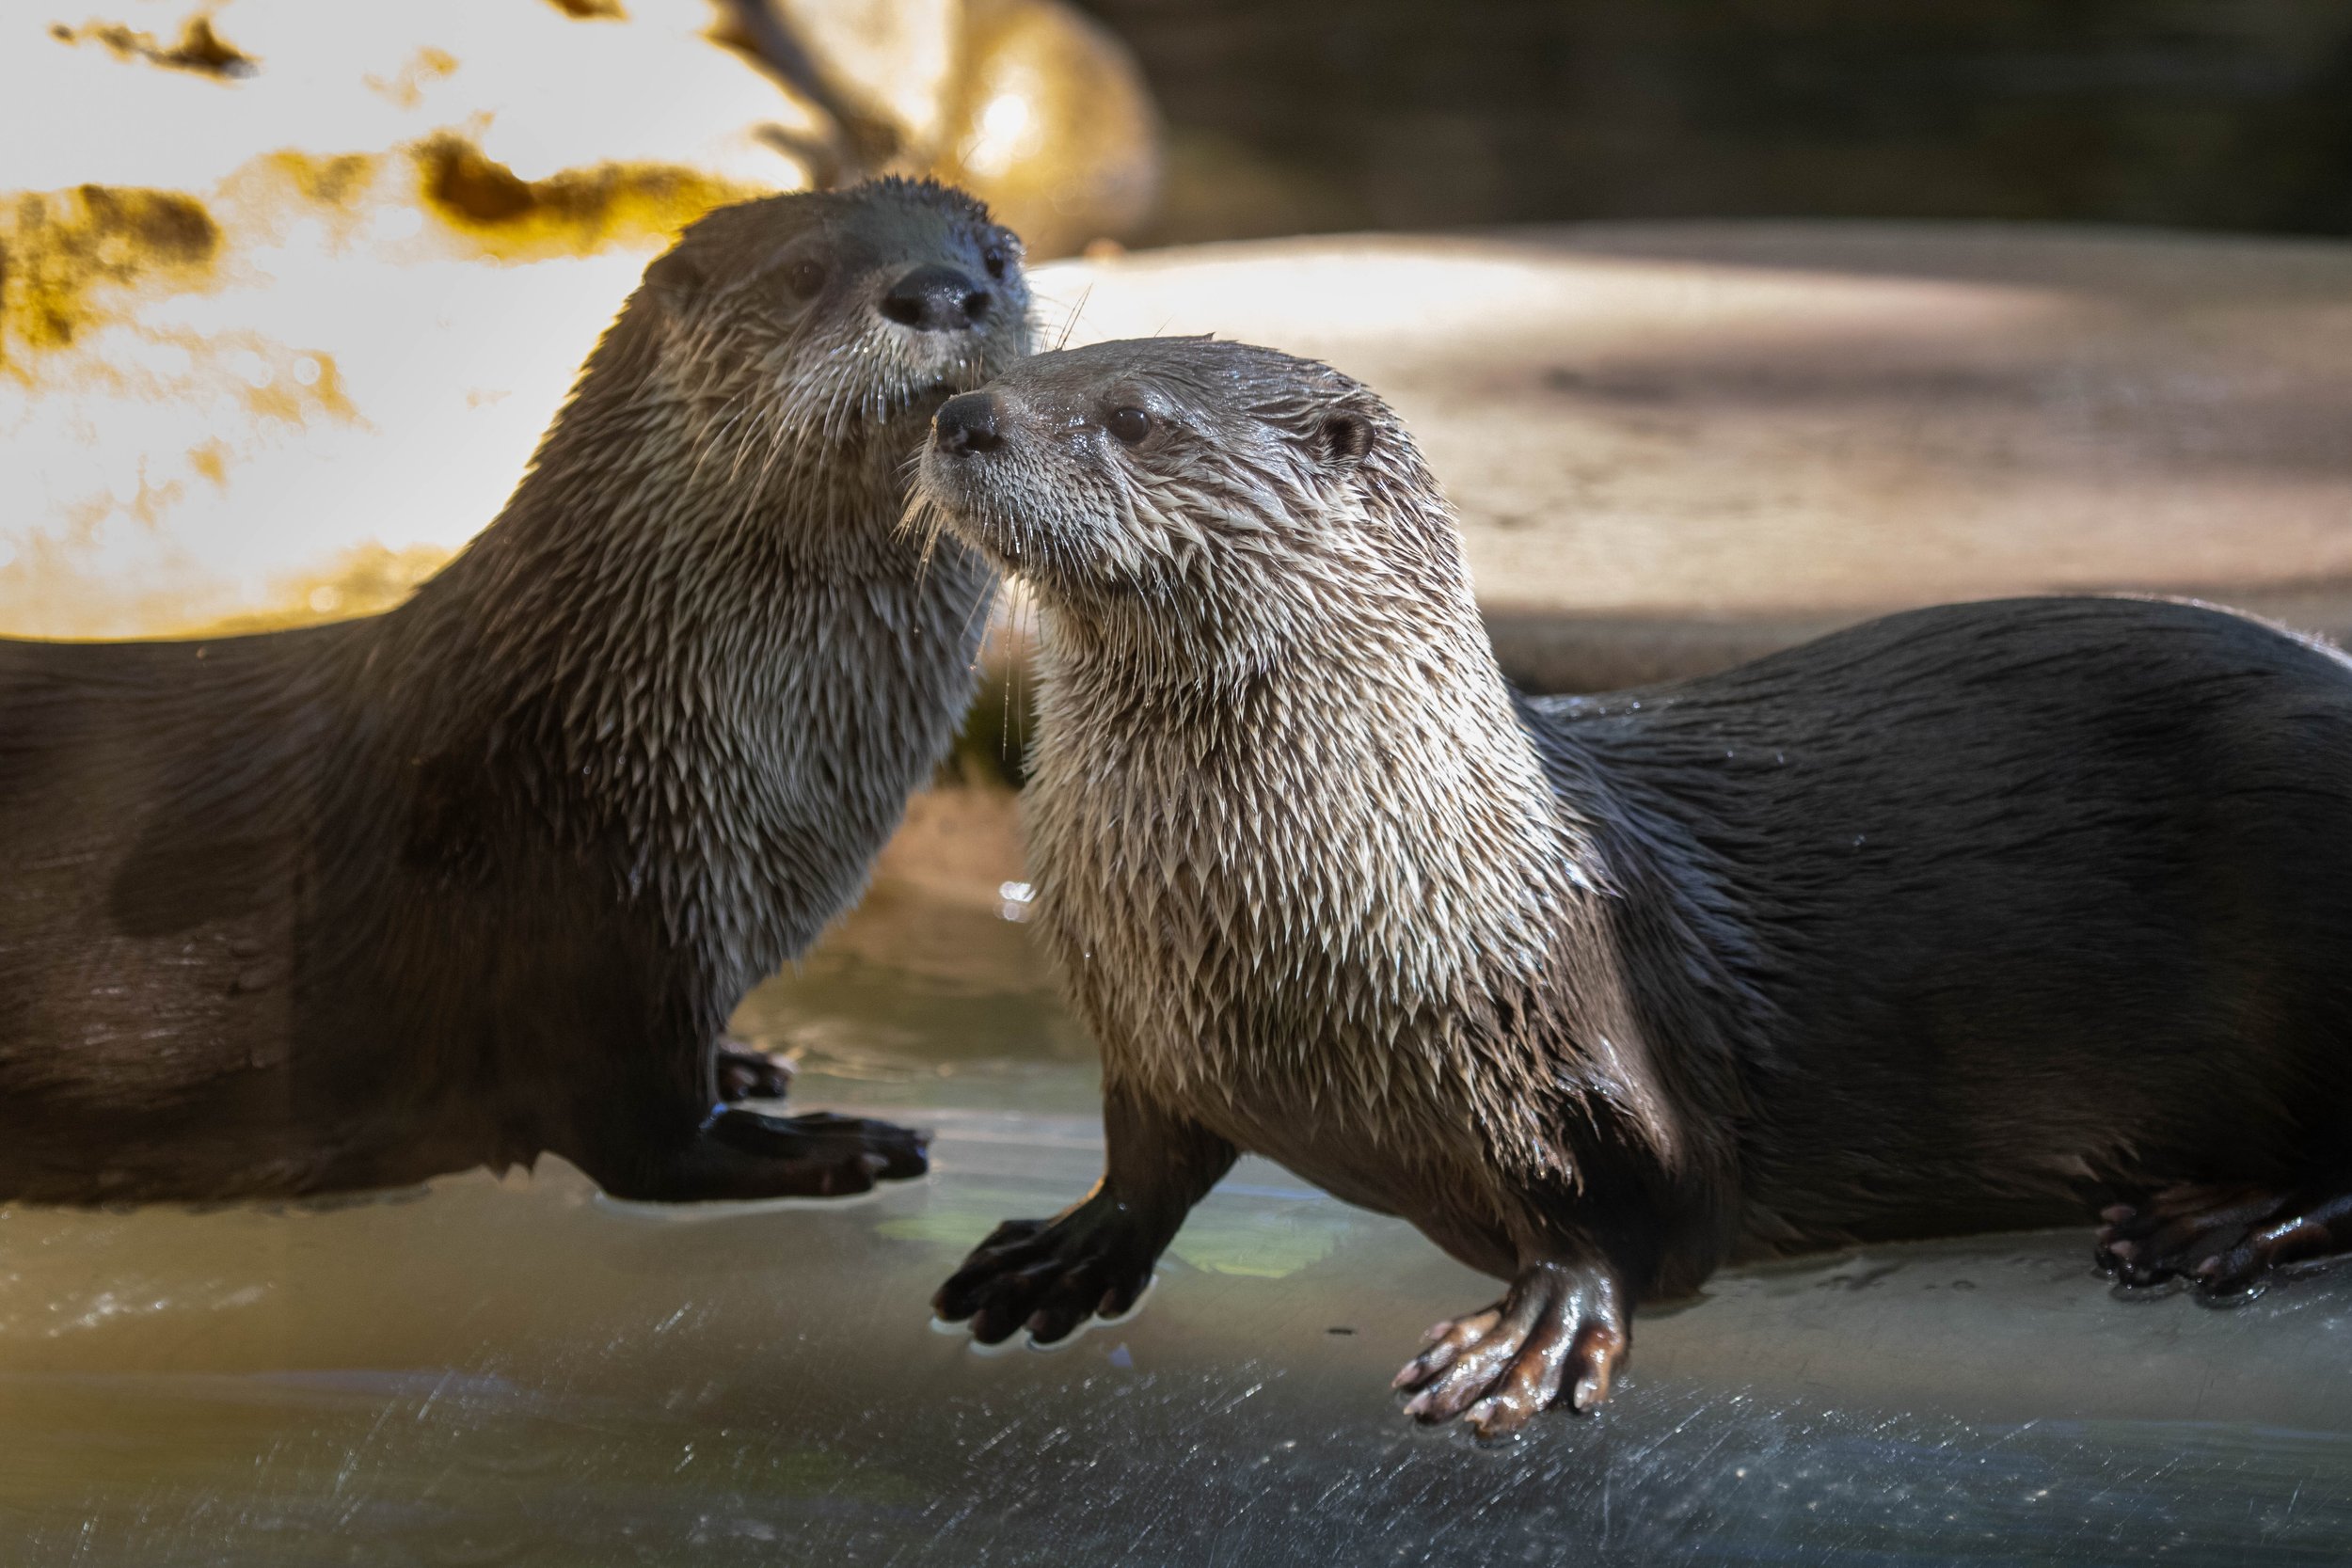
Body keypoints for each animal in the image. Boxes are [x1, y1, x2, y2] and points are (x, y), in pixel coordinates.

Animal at [0, 179, 1031, 1205]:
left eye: (994, 258)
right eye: (805, 270)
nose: (942, 291)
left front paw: (745, 1061)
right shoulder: (603, 901)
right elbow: (647, 1135)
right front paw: (821, 1141)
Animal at [912, 336, 2352, 1437]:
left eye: (1132, 417)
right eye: (1024, 361)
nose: (962, 415)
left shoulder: (1571, 1029)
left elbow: (1621, 1213)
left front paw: (1533, 1334)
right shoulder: (1149, 1031)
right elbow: (1148, 1155)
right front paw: (1068, 1245)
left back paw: (2223, 1219)